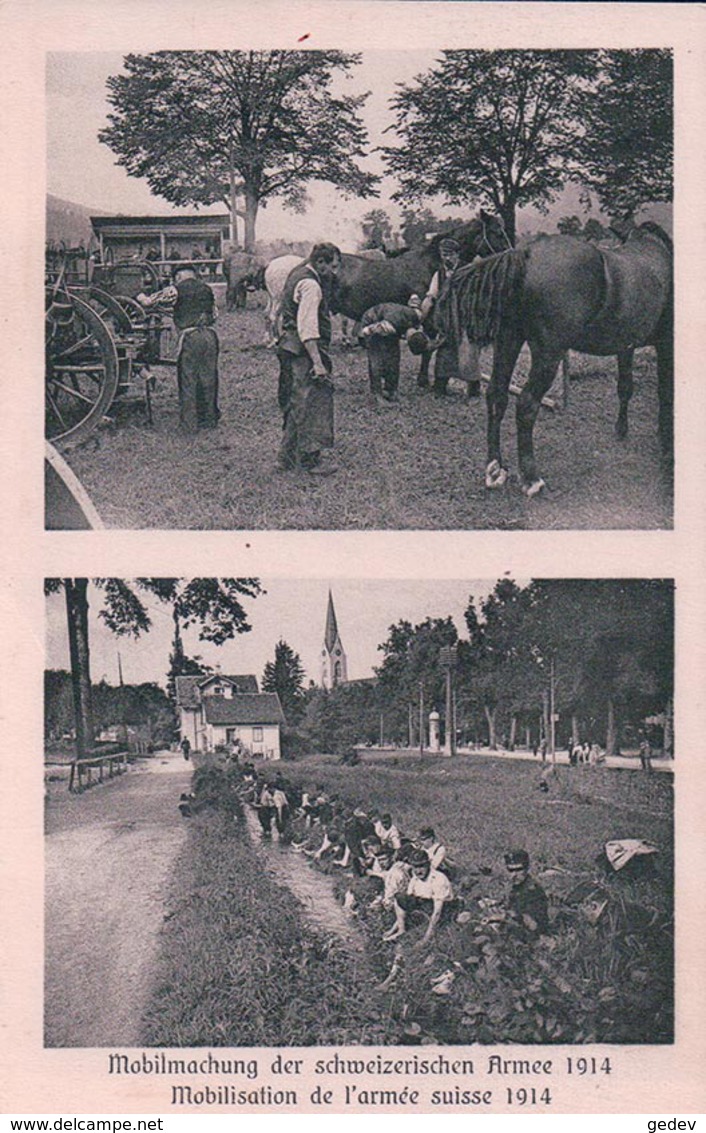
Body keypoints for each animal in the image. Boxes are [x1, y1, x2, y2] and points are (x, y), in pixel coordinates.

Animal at [446, 223, 675, 498]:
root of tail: (525, 253)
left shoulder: (626, 346)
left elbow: (625, 387)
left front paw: (622, 429)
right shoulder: (665, 343)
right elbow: (664, 392)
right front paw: (664, 439)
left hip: (508, 340)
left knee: (496, 395)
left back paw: (495, 469)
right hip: (548, 353)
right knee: (526, 404)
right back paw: (531, 478)